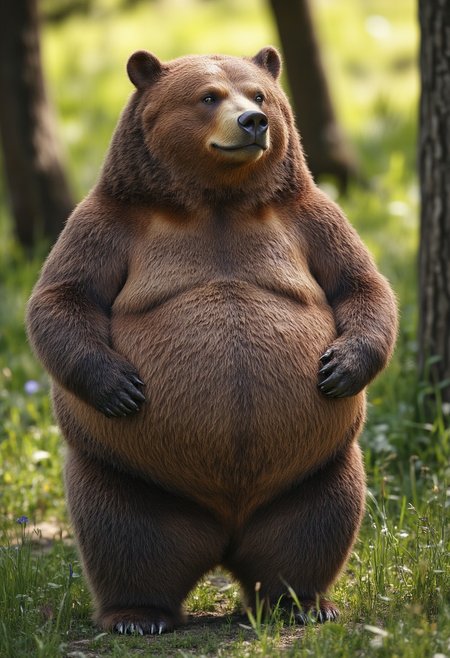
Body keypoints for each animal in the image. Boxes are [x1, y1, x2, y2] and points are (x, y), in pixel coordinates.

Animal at [26, 47, 397, 634]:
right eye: (208, 96)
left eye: (260, 93)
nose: (254, 121)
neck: (218, 202)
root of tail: (224, 534)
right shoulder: (113, 222)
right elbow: (64, 297)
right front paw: (121, 386)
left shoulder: (307, 218)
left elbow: (360, 284)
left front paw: (340, 368)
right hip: (126, 473)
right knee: (124, 535)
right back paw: (138, 614)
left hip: (317, 468)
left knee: (316, 526)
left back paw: (303, 603)